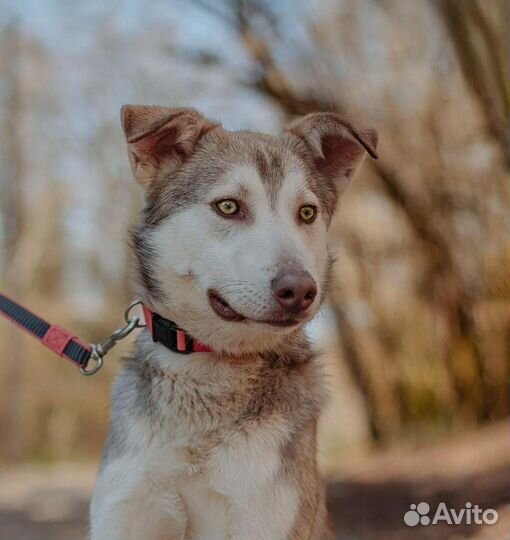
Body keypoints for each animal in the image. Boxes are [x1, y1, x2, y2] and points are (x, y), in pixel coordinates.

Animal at [89, 105, 376, 540]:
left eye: (307, 213)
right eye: (228, 207)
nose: (300, 290)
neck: (206, 371)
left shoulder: (263, 519)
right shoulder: (126, 511)